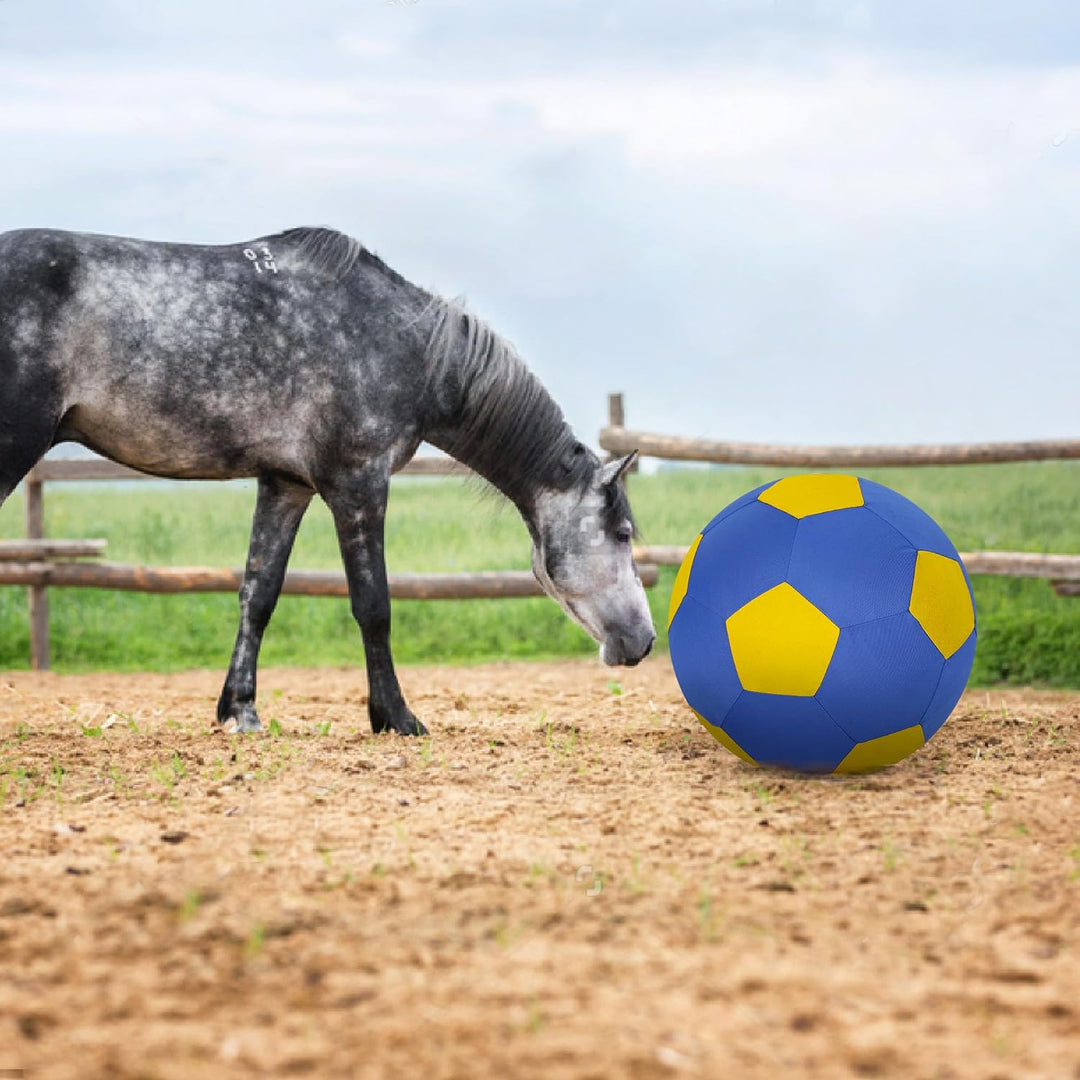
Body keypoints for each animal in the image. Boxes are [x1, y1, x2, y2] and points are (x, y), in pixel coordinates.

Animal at [0, 226, 655, 735]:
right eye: (623, 533)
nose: (645, 641)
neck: (405, 345)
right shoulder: (358, 483)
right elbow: (374, 605)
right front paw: (396, 717)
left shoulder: (285, 483)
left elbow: (258, 594)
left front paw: (240, 711)